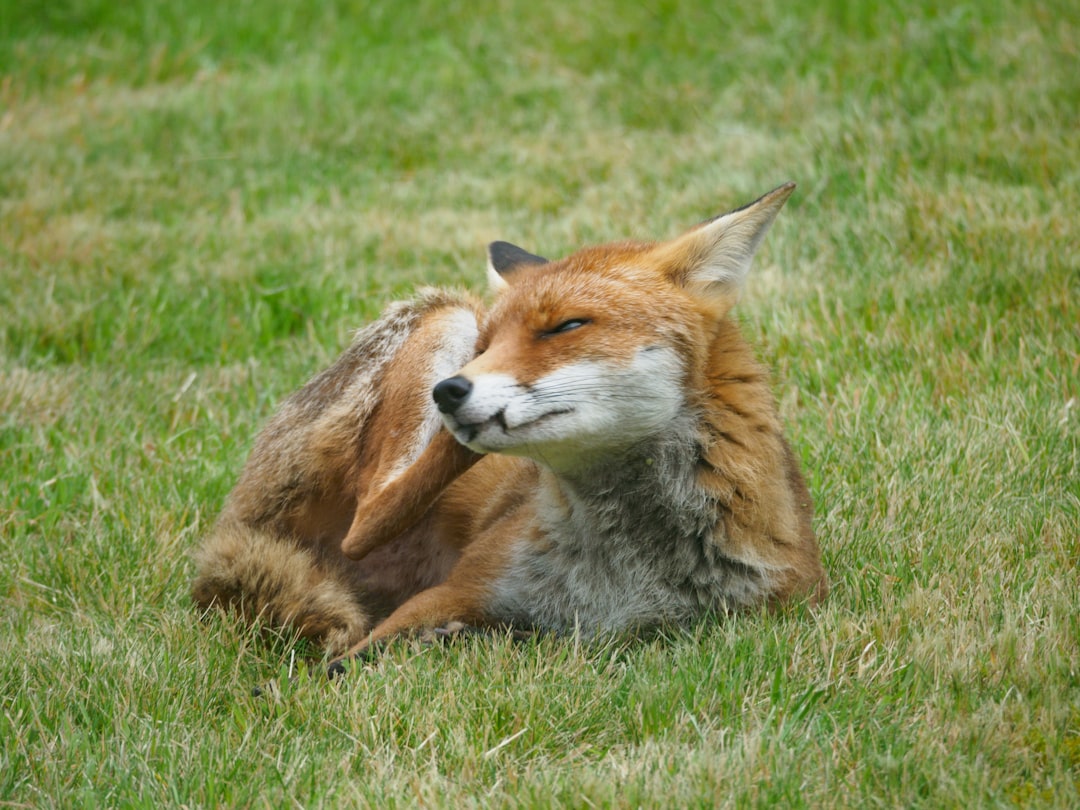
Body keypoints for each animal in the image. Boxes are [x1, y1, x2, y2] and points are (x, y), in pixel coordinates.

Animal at [191, 182, 827, 671]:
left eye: (566, 326)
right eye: (489, 346)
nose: (448, 391)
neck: (628, 573)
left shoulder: (779, 610)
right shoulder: (457, 590)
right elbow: (340, 666)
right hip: (449, 315)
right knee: (371, 515)